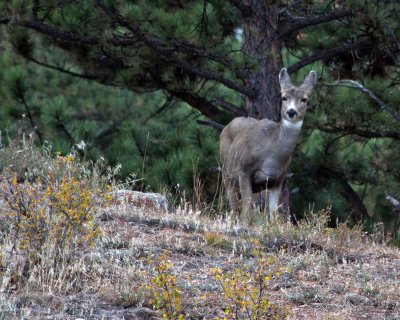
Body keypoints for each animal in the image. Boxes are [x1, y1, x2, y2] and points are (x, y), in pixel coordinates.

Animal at [219, 67, 316, 222]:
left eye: (304, 99)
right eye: (284, 97)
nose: (291, 112)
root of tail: (226, 126)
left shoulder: (278, 179)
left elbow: (273, 214)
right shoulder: (244, 170)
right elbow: (246, 211)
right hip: (225, 170)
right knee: (234, 205)